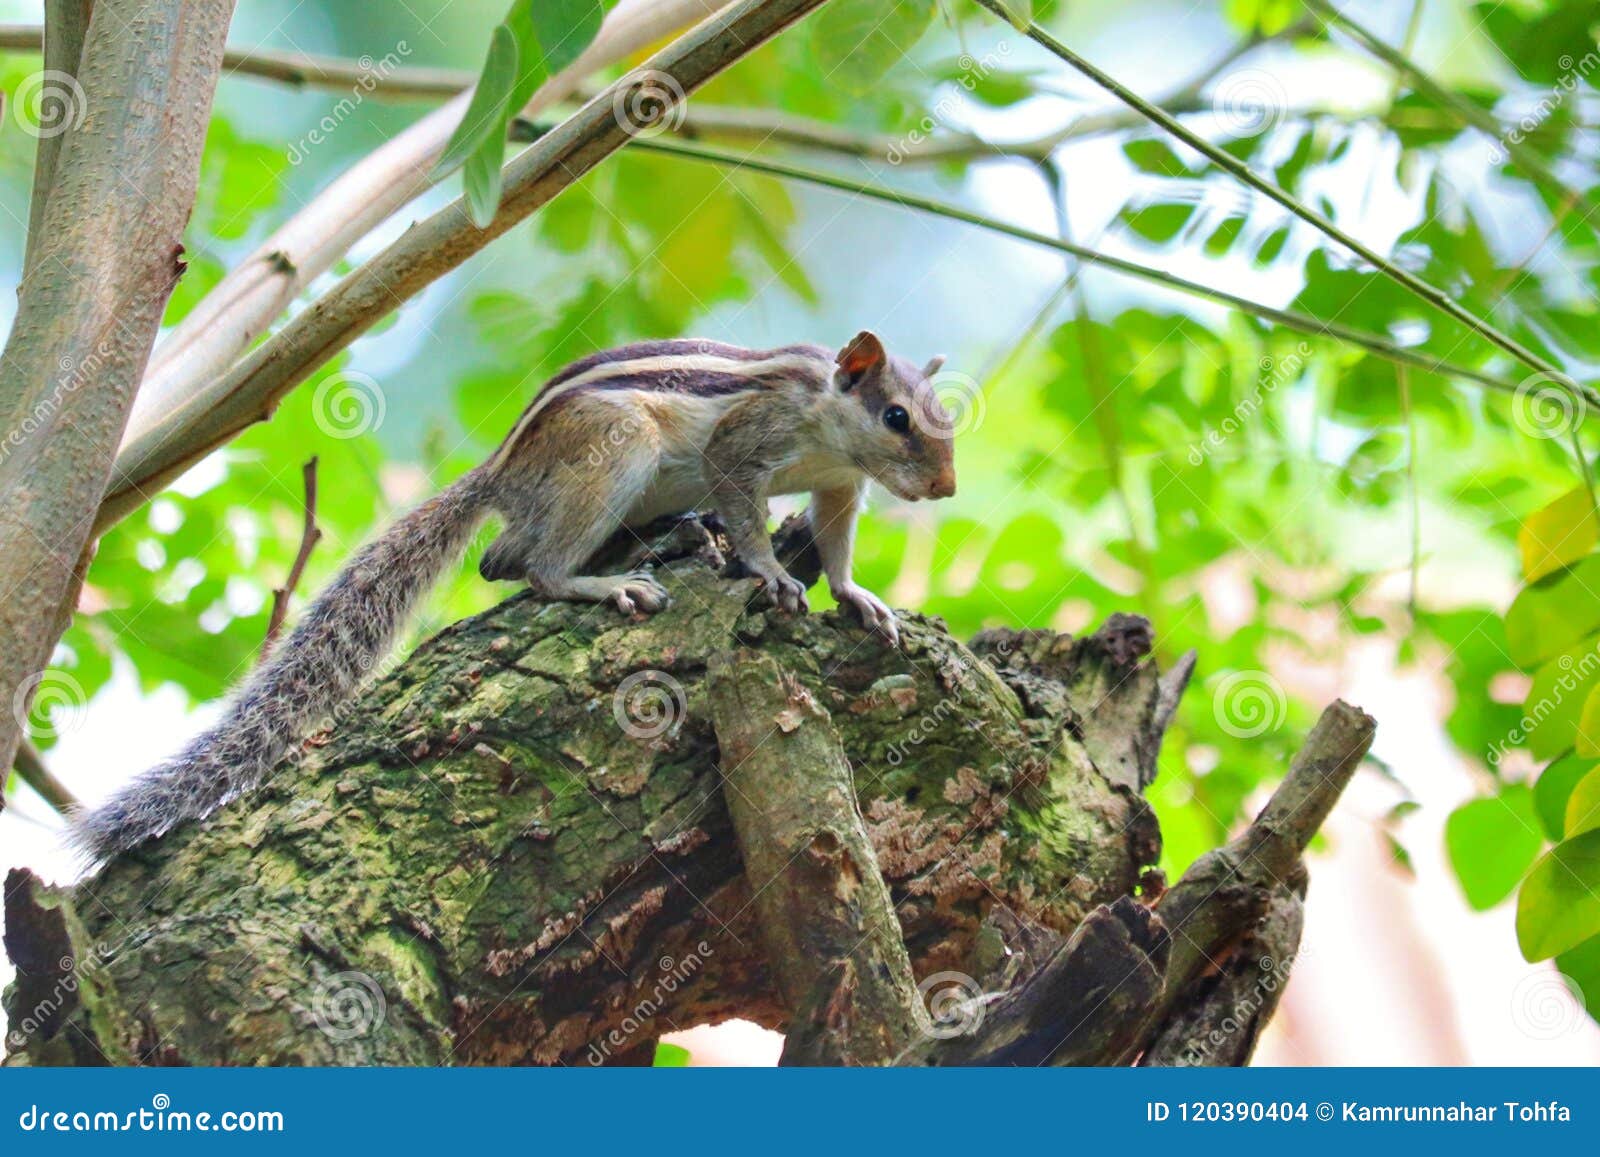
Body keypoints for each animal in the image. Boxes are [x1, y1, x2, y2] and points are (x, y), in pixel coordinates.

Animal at [71, 331, 956, 861]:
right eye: (896, 416)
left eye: (947, 417)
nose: (946, 489)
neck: (827, 420)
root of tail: (502, 472)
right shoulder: (744, 444)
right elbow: (744, 506)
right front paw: (769, 569)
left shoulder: (839, 487)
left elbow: (835, 543)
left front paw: (857, 596)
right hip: (616, 453)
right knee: (533, 566)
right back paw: (608, 579)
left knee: (503, 557)